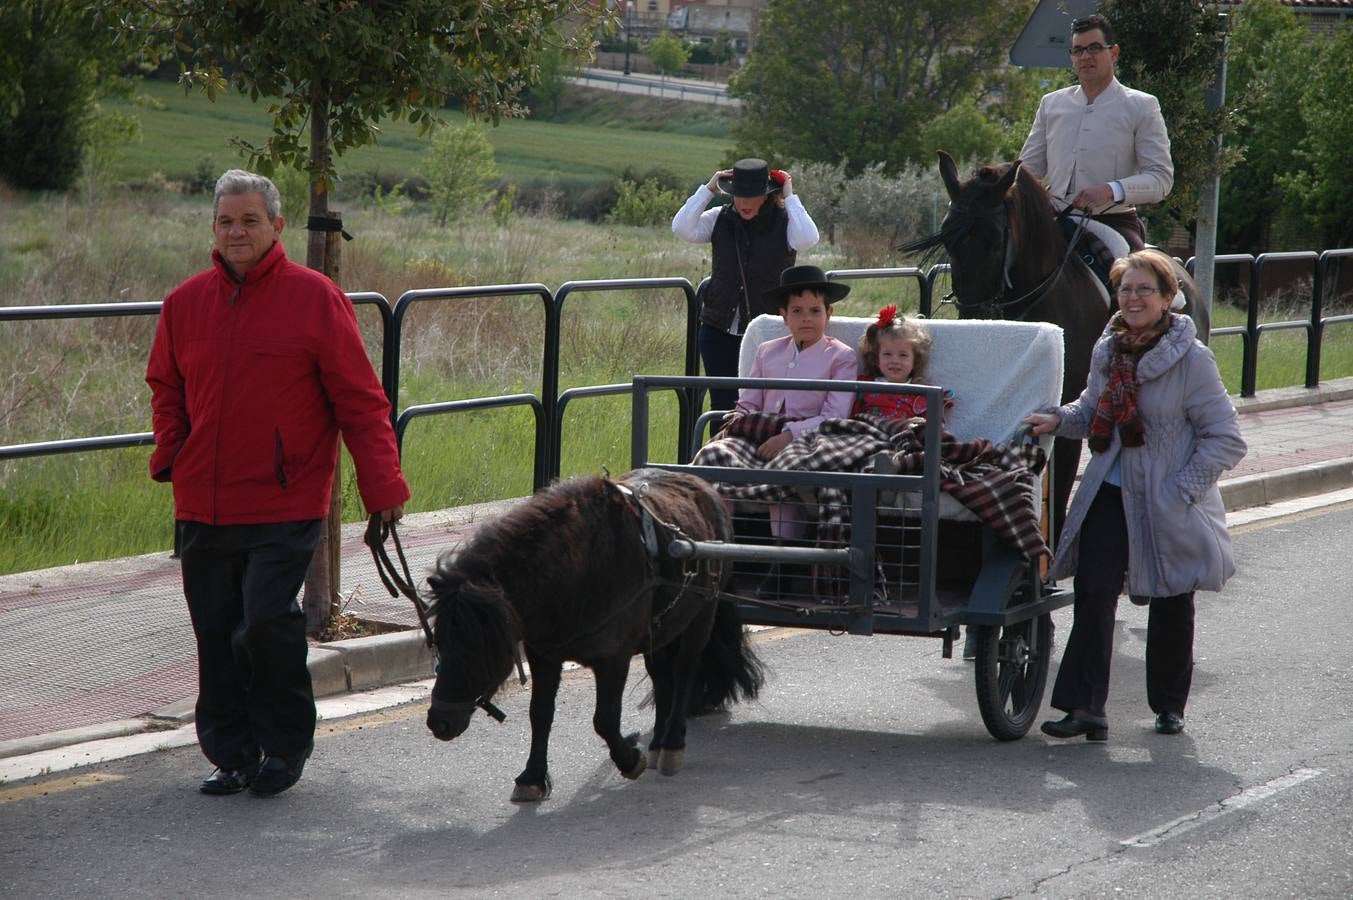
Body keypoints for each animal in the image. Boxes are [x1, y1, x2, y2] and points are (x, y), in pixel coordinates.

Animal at [424, 462, 763, 801]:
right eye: (438, 642)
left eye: (478, 649)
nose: (440, 723)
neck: (577, 569)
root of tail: (705, 488)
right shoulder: (544, 655)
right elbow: (540, 714)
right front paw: (532, 776)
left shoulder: (614, 659)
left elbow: (605, 720)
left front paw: (629, 759)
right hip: (661, 629)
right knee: (662, 677)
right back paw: (657, 742)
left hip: (702, 615)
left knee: (683, 673)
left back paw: (672, 744)